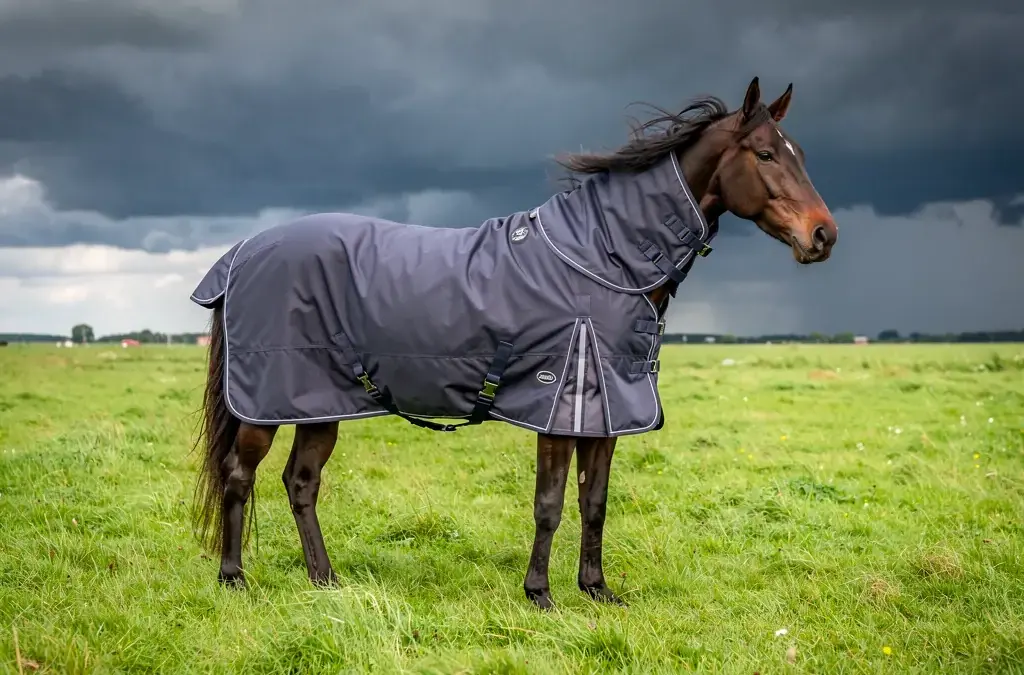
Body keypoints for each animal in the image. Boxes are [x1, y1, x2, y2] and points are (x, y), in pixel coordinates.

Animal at [189, 77, 838, 610]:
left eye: (800, 155)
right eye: (764, 154)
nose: (823, 235)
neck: (601, 259)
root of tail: (241, 252)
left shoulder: (604, 412)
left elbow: (594, 503)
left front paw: (597, 590)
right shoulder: (558, 406)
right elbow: (548, 505)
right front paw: (540, 594)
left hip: (320, 403)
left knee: (301, 483)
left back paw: (325, 580)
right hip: (266, 404)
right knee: (238, 475)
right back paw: (234, 578)